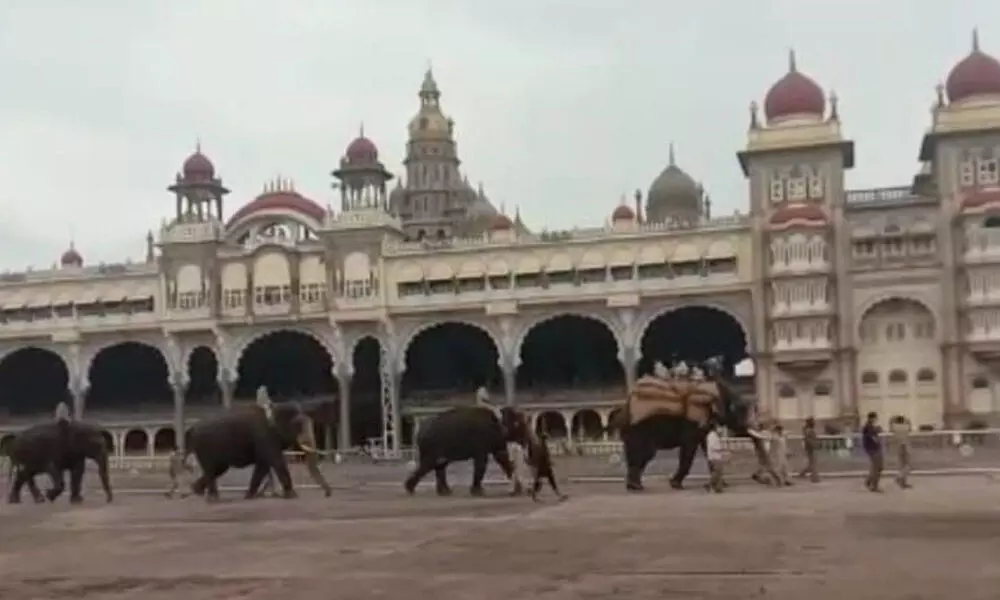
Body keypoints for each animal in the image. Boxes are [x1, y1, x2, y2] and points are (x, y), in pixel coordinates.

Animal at [186, 400, 314, 504]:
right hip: (204, 447)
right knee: (211, 470)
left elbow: (262, 466)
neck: (274, 409)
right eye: (298, 423)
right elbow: (276, 461)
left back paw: (196, 491)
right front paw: (293, 496)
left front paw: (249, 496)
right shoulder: (265, 437)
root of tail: (192, 428)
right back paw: (212, 499)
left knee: (218, 469)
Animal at [608, 358, 756, 490]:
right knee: (644, 454)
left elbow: (705, 445)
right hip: (638, 429)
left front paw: (722, 485)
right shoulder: (692, 422)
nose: (755, 476)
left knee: (640, 455)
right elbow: (689, 449)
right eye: (737, 410)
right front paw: (675, 485)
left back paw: (634, 486)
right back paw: (636, 487)